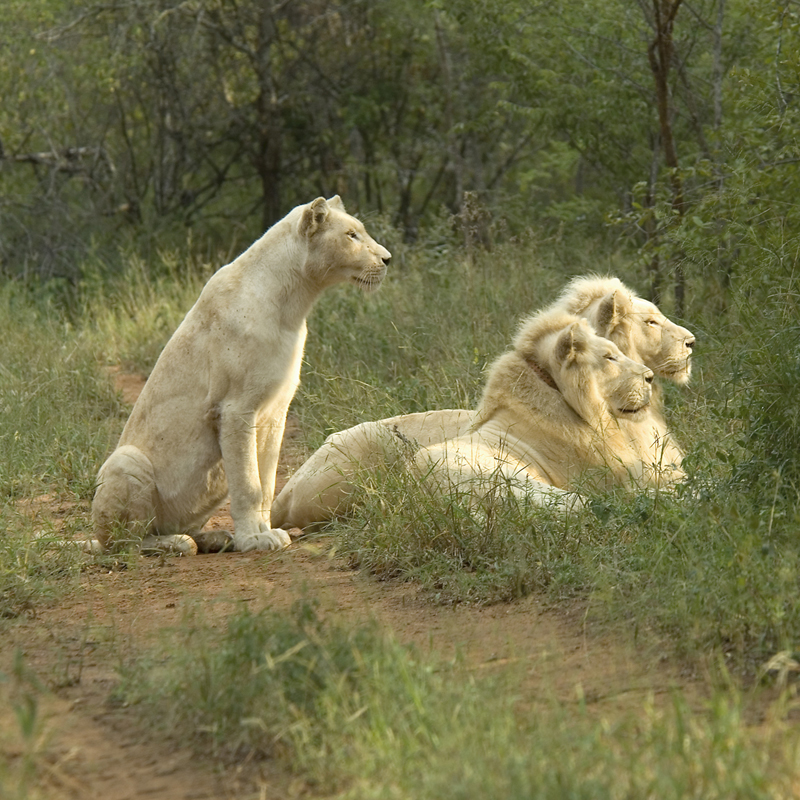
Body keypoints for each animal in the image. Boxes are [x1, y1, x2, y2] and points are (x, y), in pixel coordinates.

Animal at [89, 195, 390, 556]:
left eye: (360, 231)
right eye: (351, 235)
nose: (388, 258)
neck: (294, 304)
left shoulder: (275, 412)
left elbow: (267, 480)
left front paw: (264, 532)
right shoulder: (235, 408)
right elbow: (248, 483)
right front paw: (254, 539)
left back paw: (215, 538)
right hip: (126, 461)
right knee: (124, 544)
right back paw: (177, 543)